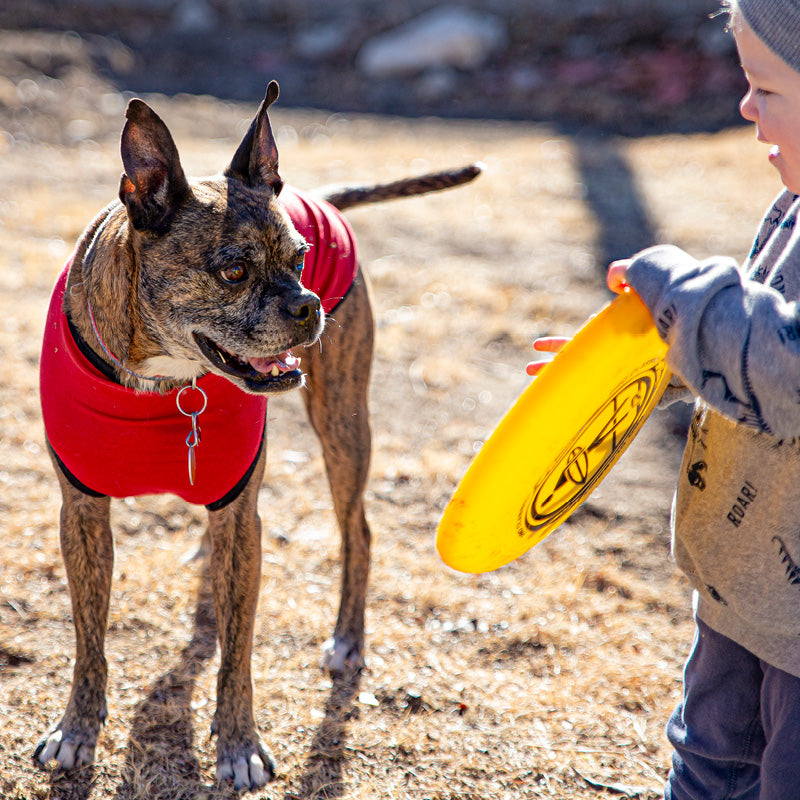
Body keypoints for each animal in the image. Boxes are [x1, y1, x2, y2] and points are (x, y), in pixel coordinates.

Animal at [32, 78, 482, 792]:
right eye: (234, 272)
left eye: (300, 259)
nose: (306, 305)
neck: (166, 379)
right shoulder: (81, 511)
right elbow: (88, 639)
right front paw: (75, 729)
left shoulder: (244, 520)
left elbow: (237, 651)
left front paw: (239, 744)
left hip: (342, 426)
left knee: (358, 532)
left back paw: (347, 641)